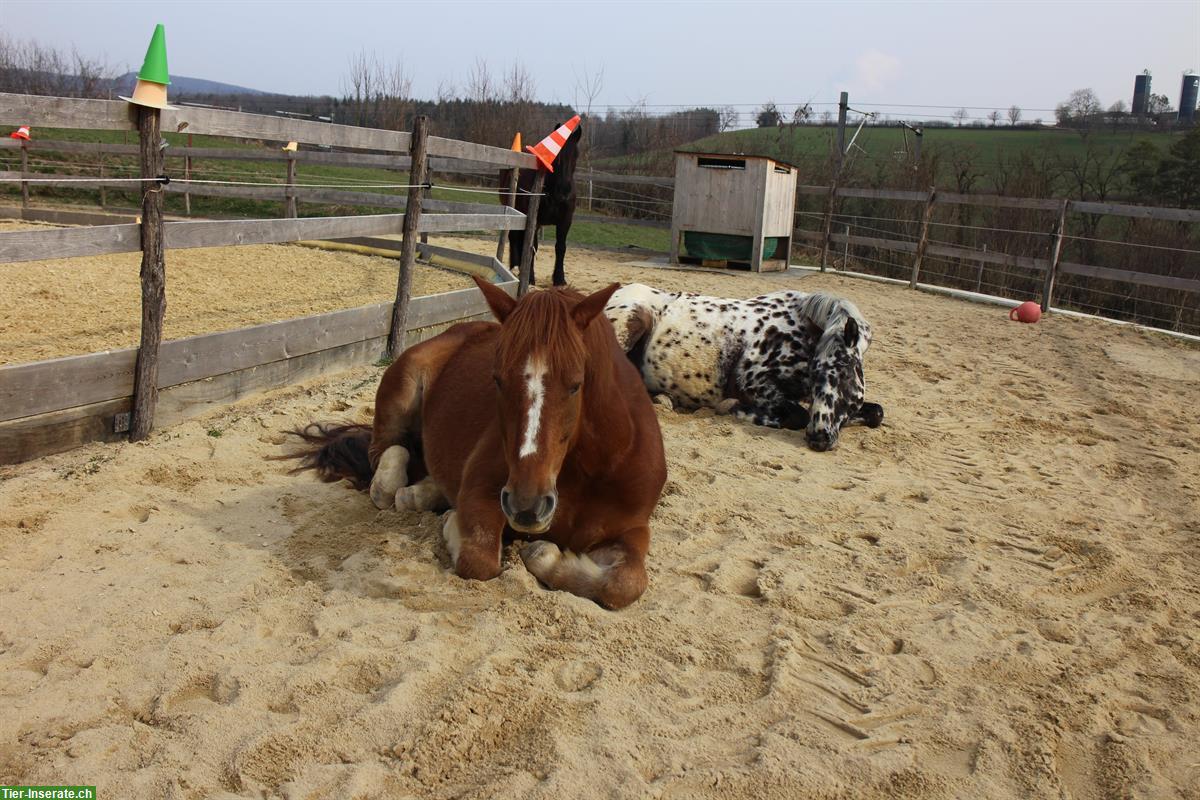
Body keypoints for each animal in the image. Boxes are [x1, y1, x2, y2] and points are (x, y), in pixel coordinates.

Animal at [290, 278, 667, 609]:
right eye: (497, 380)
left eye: (576, 384)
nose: (526, 507)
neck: (594, 467)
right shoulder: (482, 493)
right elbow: (480, 560)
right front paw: (457, 526)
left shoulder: (632, 529)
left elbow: (625, 583)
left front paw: (546, 556)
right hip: (402, 392)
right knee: (387, 458)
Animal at [499, 121, 583, 287]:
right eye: (557, 156)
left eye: (576, 155)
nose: (564, 192)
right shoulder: (535, 220)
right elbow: (532, 246)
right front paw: (530, 277)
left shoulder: (565, 221)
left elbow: (561, 247)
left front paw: (559, 279)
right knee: (515, 237)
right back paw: (516, 266)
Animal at [609, 284, 883, 450]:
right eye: (817, 371)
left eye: (844, 370)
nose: (819, 436)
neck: (802, 332)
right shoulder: (752, 383)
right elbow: (798, 415)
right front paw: (735, 408)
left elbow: (876, 413)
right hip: (629, 323)